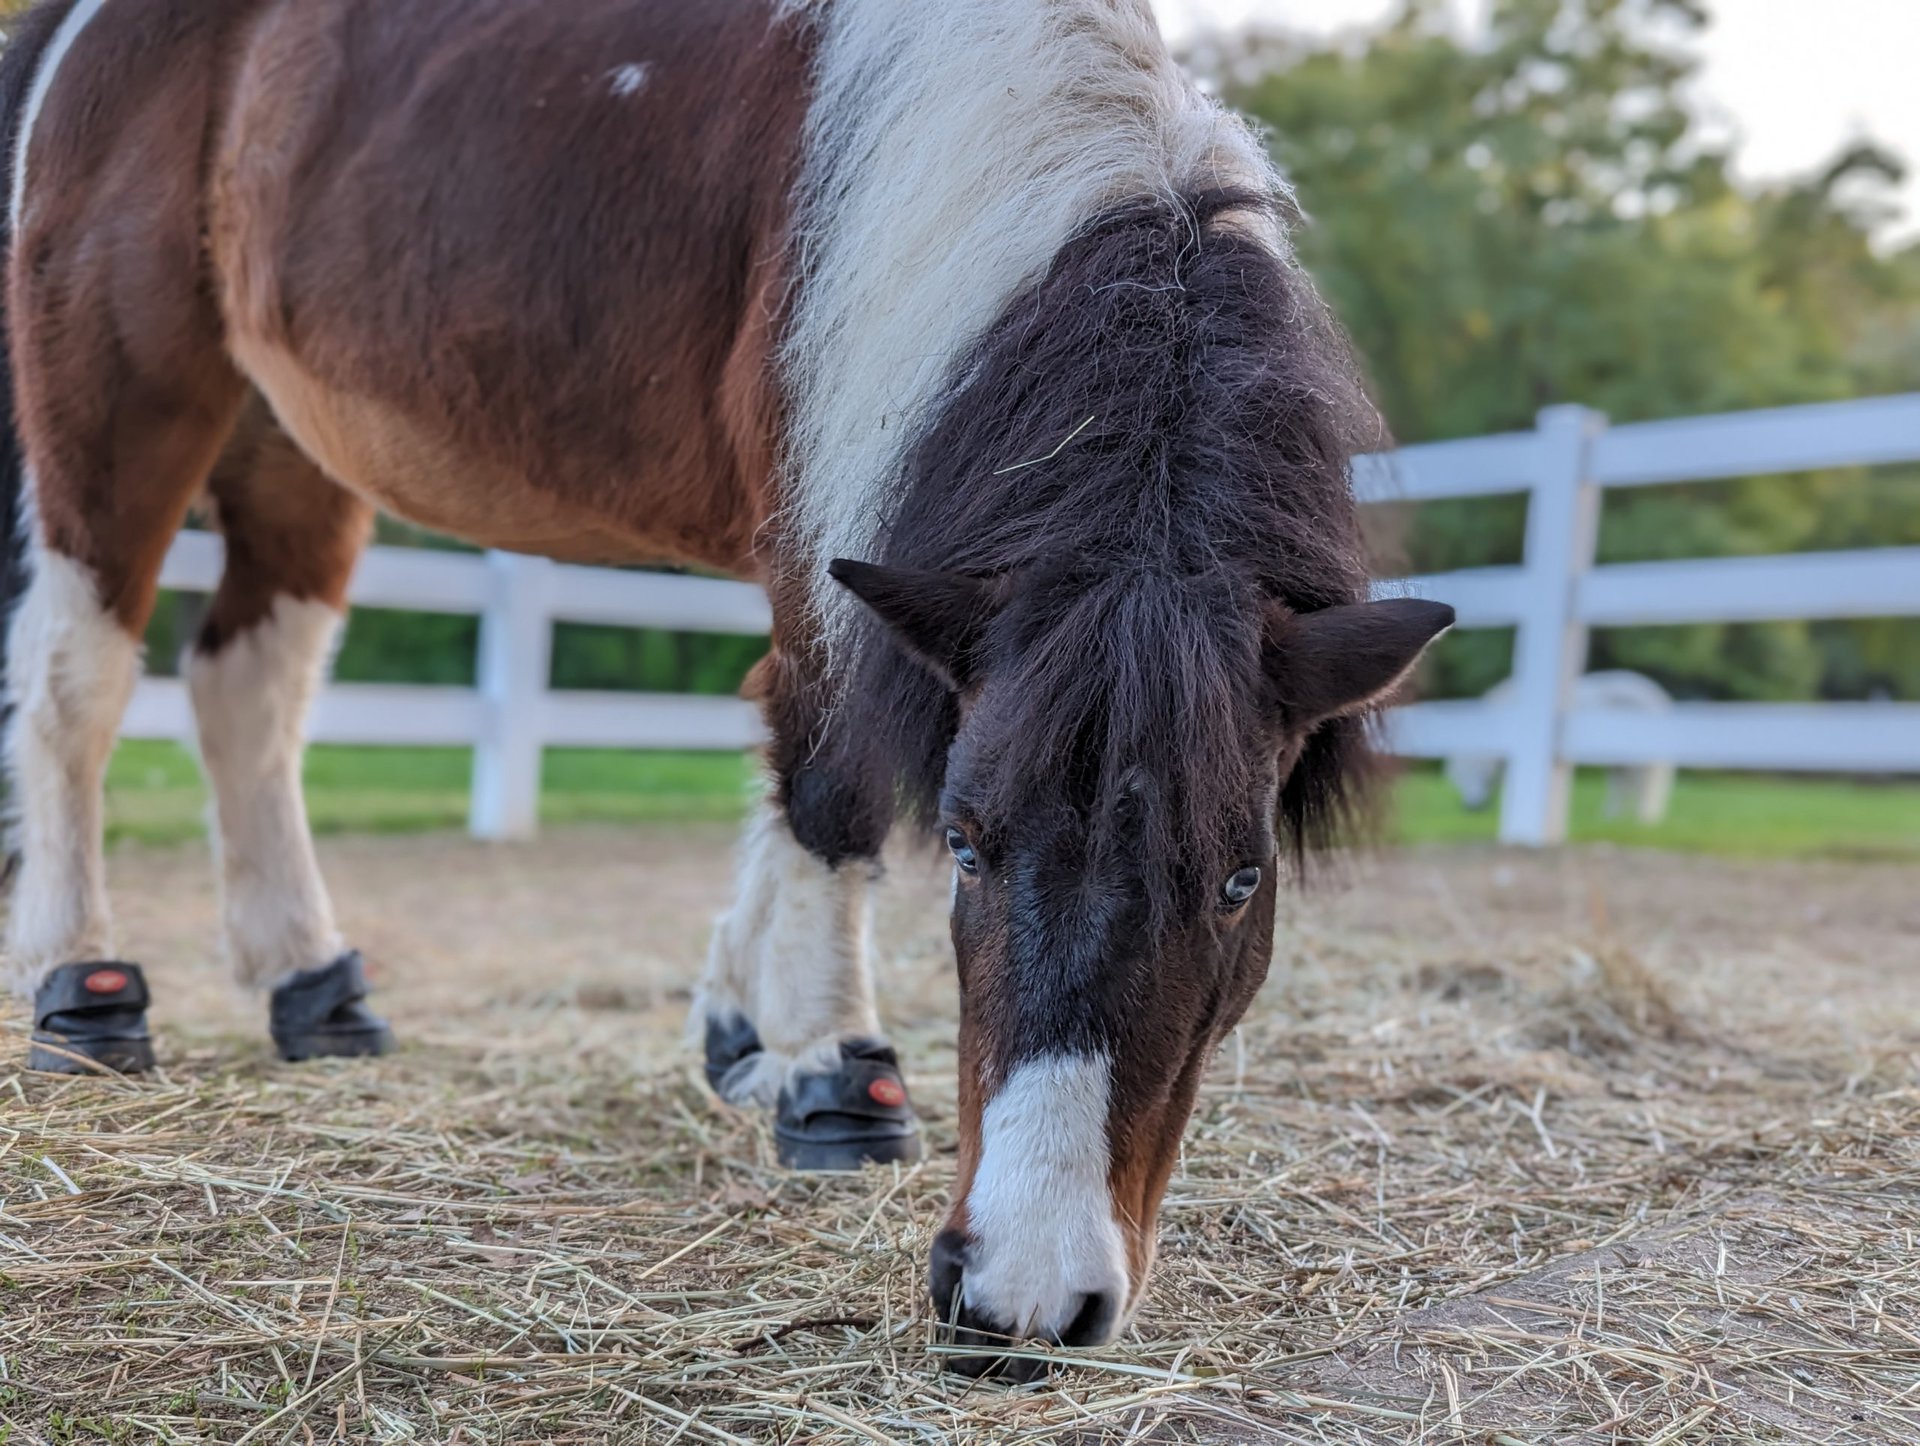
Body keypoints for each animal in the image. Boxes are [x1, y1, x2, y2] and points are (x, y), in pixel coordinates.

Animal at [0, 0, 1443, 1367]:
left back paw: (310, 981)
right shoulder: (826, 510)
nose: (1028, 1293)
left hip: (290, 439)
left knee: (248, 687)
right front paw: (835, 1071)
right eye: (967, 845)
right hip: (119, 389)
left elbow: (783, 761)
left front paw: (746, 1029)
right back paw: (84, 984)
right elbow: (827, 778)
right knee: (77, 677)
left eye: (1243, 878)